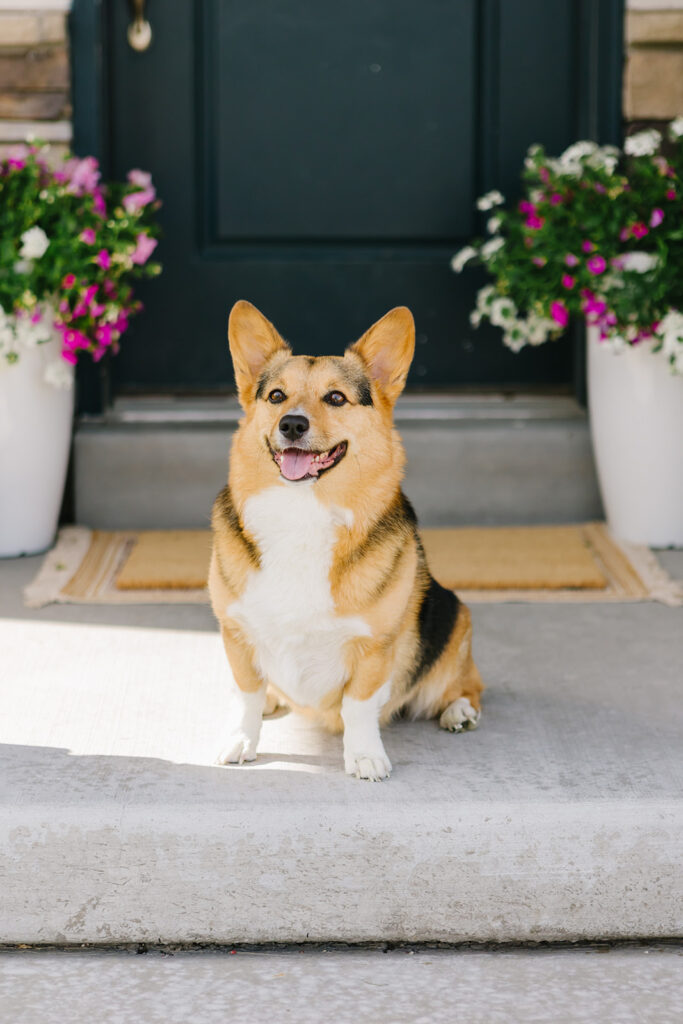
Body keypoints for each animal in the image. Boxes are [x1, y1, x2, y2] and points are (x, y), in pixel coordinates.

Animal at [210, 299, 483, 778]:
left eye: (336, 398)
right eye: (276, 396)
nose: (292, 424)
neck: (303, 513)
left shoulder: (373, 647)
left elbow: (358, 707)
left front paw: (364, 756)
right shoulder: (236, 632)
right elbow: (246, 694)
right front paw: (241, 737)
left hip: (454, 617)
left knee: (468, 686)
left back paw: (459, 711)